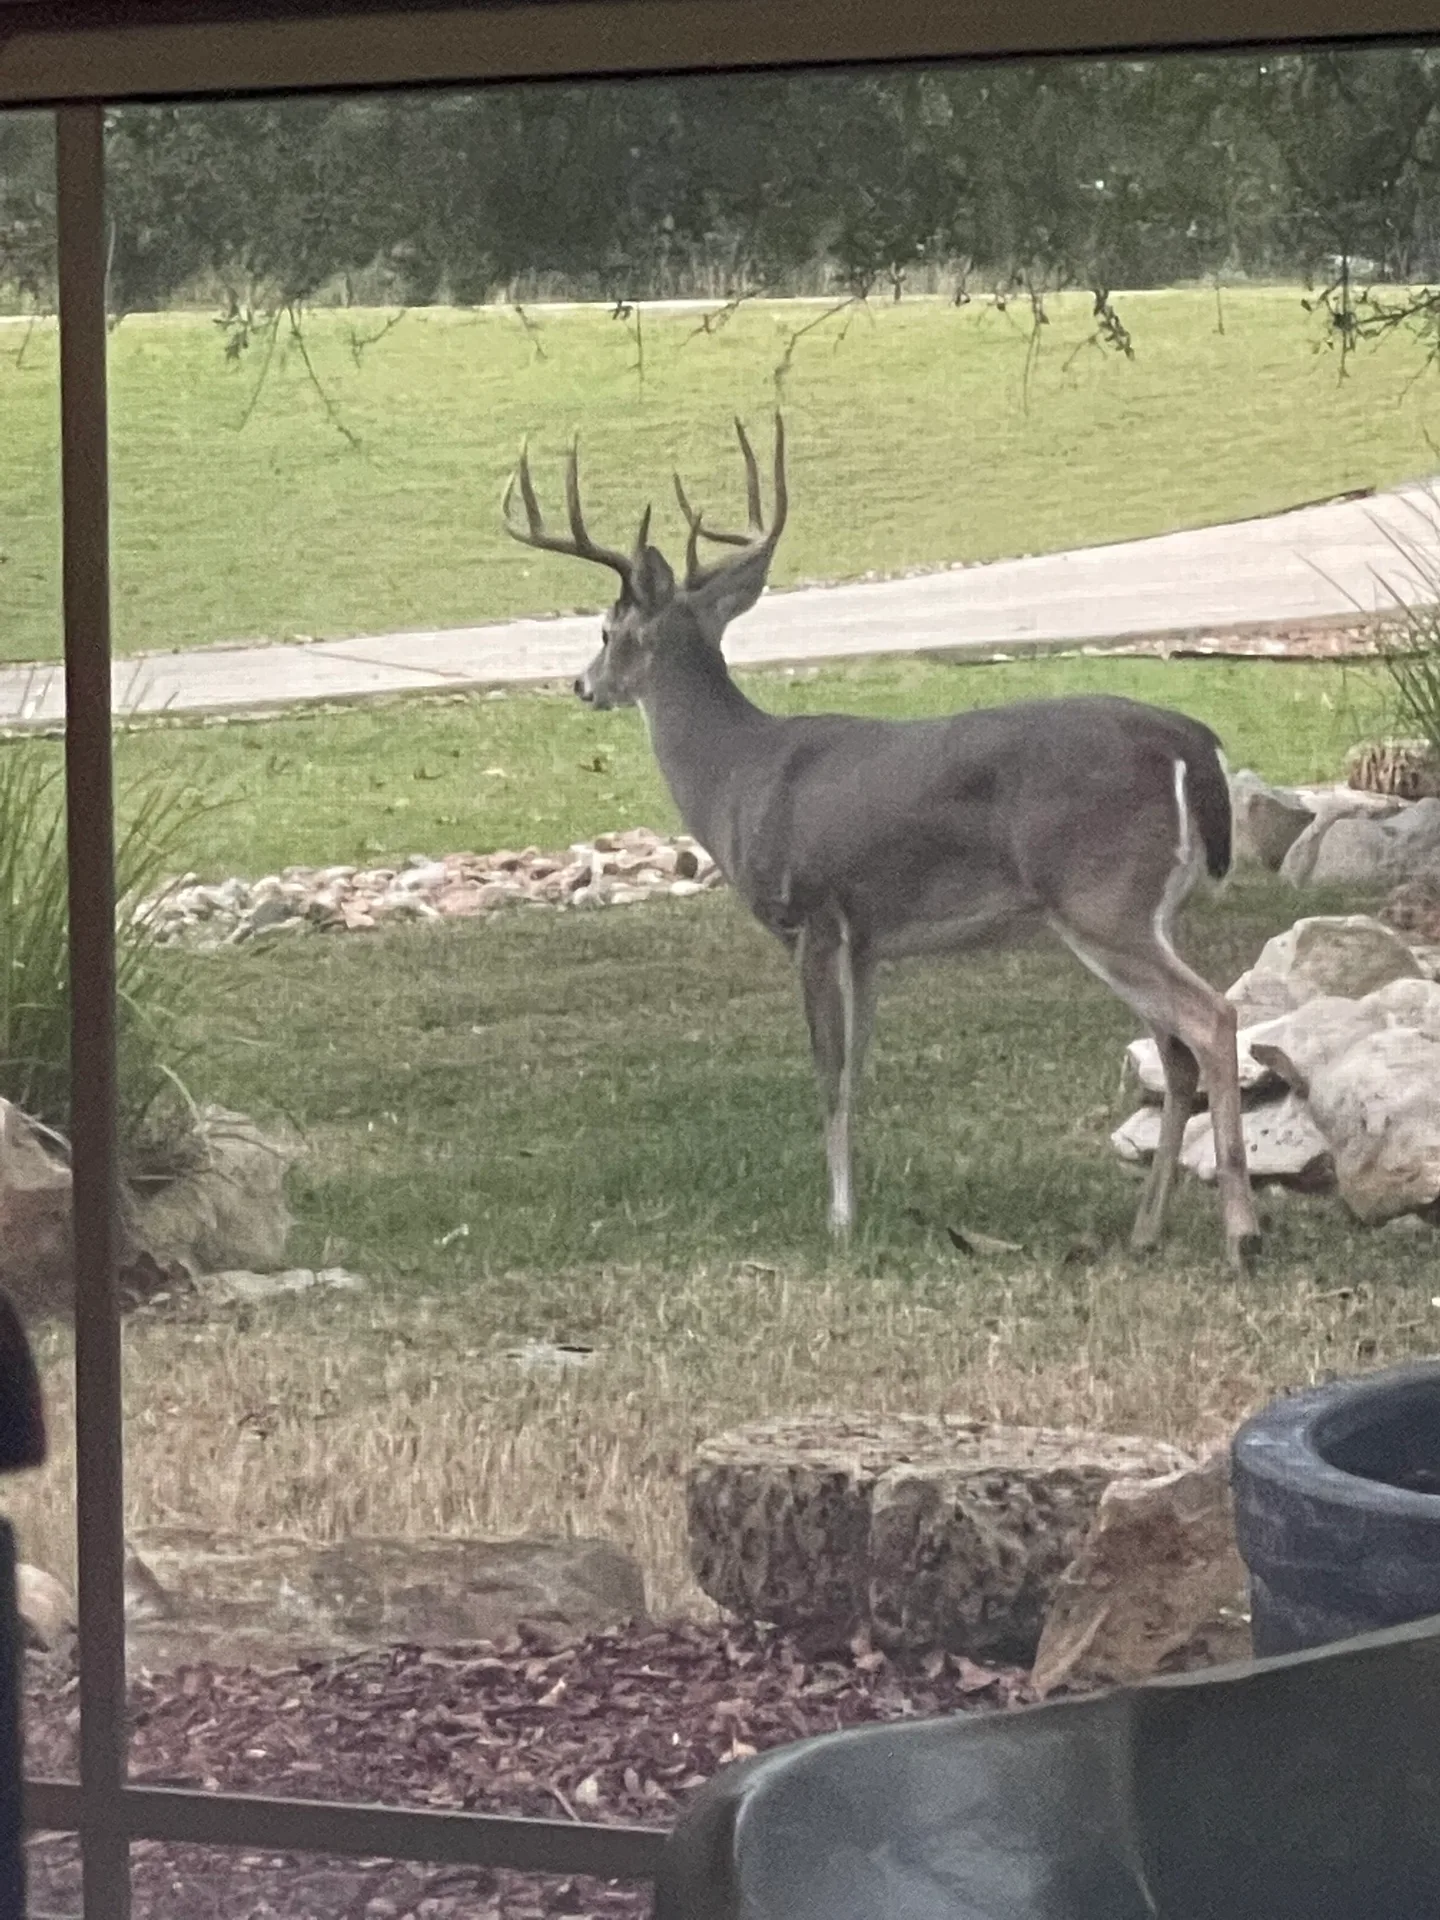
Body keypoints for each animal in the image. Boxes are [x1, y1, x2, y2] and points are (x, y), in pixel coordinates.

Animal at [502, 415, 1260, 1272]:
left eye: (606, 631)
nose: (582, 684)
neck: (735, 775)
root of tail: (1188, 737)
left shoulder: (810, 913)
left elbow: (828, 1071)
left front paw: (836, 1218)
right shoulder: (869, 939)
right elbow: (860, 1069)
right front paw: (856, 1204)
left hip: (1102, 897)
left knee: (1212, 1019)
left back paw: (1242, 1233)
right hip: (1141, 909)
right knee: (1176, 1048)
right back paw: (1146, 1228)